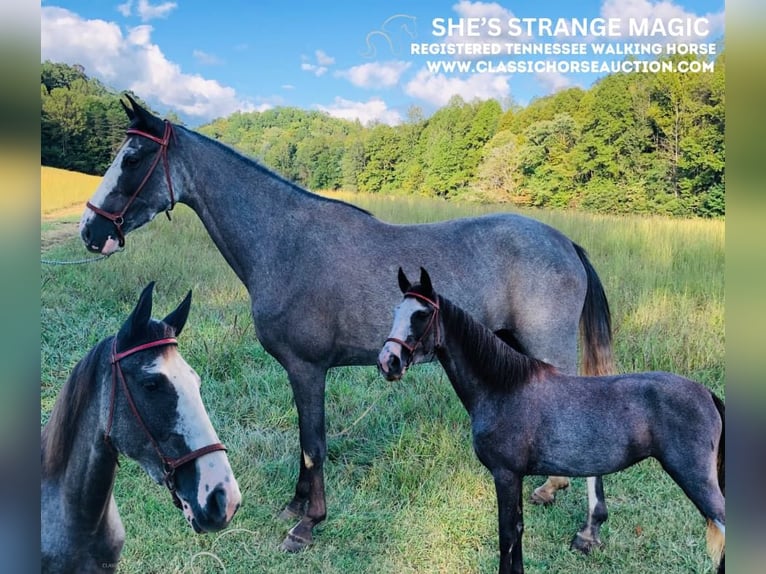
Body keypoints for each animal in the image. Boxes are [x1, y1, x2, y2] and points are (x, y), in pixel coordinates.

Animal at [81, 95, 616, 552]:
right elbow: (304, 439)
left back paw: (588, 528)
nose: (92, 230)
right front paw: (295, 505)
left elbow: (314, 444)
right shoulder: (300, 372)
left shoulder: (307, 368)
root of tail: (565, 243)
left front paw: (307, 523)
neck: (284, 241)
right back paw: (551, 489)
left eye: (133, 158)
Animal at [380, 270, 728, 574]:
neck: (503, 388)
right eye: (396, 310)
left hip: (696, 480)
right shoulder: (515, 477)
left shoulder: (505, 475)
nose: (389, 361)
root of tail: (708, 394)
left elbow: (507, 535)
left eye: (422, 314)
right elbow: (518, 530)